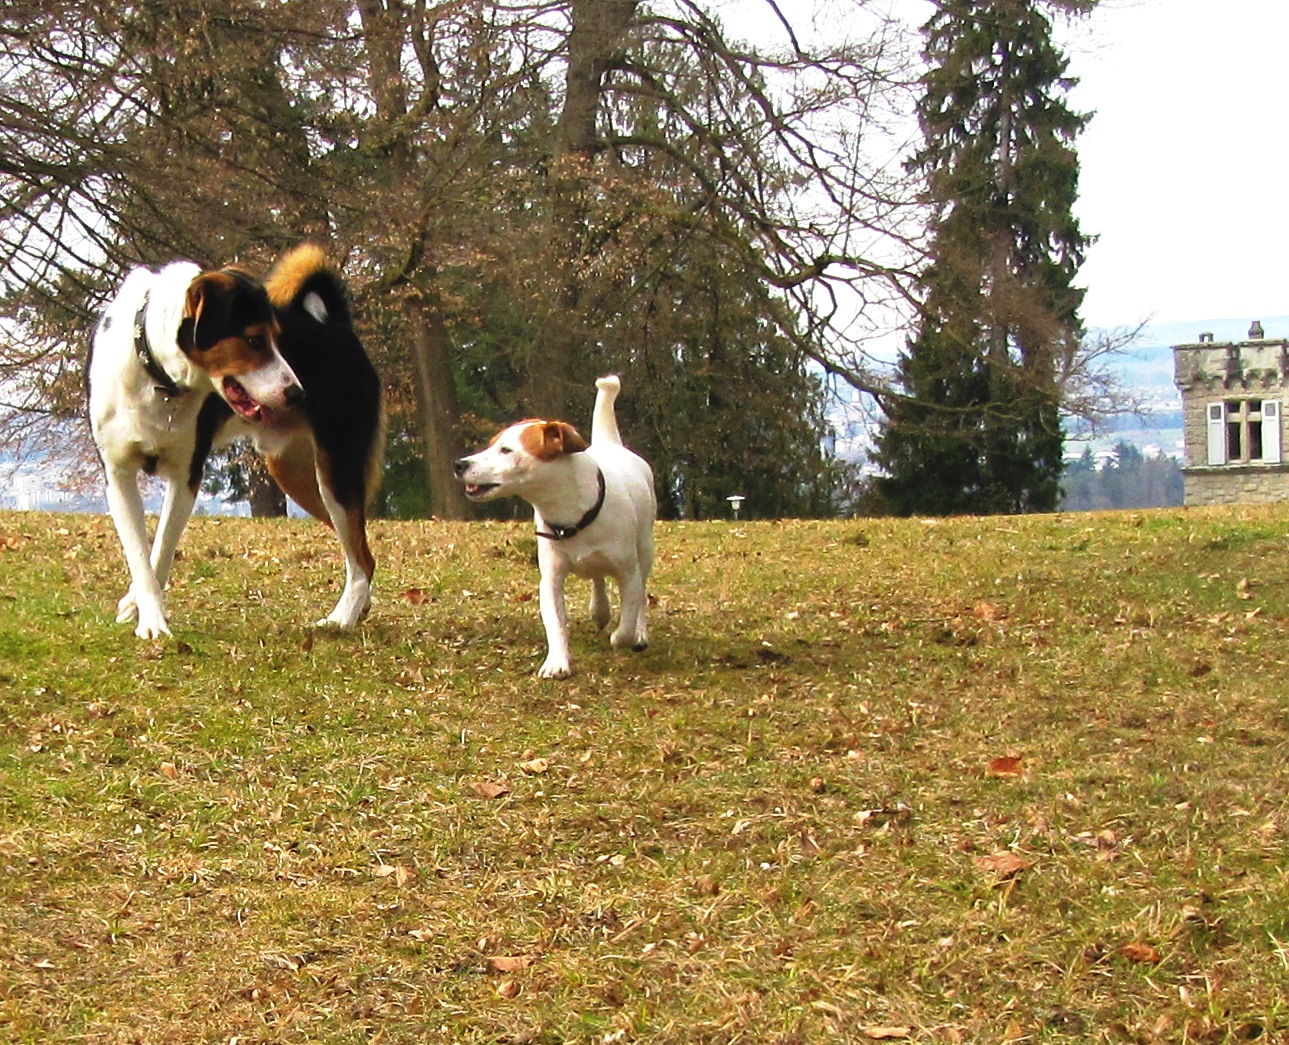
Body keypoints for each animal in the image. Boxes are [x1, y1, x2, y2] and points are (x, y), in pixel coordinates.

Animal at [87, 244, 381, 636]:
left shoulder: (186, 476)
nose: (297, 393)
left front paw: (152, 619)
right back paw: (358, 608)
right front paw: (144, 609)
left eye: (277, 337)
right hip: (301, 478)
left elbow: (161, 548)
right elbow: (141, 556)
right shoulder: (118, 476)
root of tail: (336, 324)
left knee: (362, 557)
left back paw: (342, 618)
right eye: (254, 340)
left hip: (337, 470)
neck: (158, 380)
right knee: (359, 549)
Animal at [453, 376, 654, 680]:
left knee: (641, 591)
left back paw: (638, 632)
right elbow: (555, 622)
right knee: (597, 578)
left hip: (645, 549)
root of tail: (611, 444)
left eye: (506, 450)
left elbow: (630, 612)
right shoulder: (550, 578)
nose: (459, 464)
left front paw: (623, 636)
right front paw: (557, 661)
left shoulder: (627, 573)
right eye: (491, 445)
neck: (571, 513)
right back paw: (600, 610)